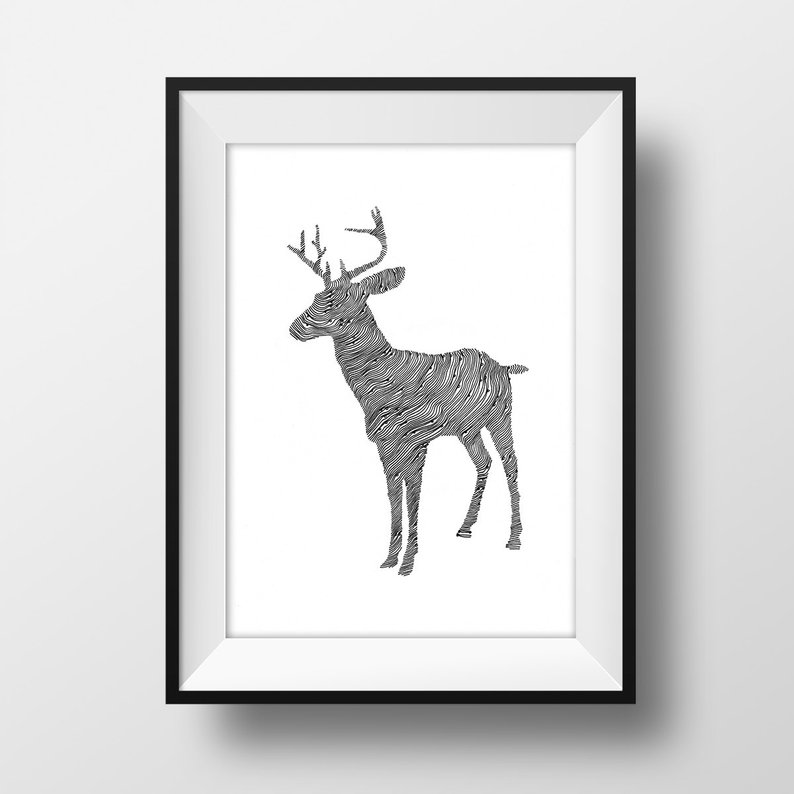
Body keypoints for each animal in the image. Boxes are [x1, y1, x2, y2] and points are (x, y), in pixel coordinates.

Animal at [288, 208, 527, 576]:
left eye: (338, 303)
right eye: (317, 297)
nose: (294, 328)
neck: (378, 382)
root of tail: (503, 366)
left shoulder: (416, 440)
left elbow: (413, 494)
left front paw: (408, 564)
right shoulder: (384, 444)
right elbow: (392, 494)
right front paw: (388, 559)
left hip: (501, 416)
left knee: (511, 462)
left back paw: (514, 539)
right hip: (467, 429)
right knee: (483, 460)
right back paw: (465, 528)